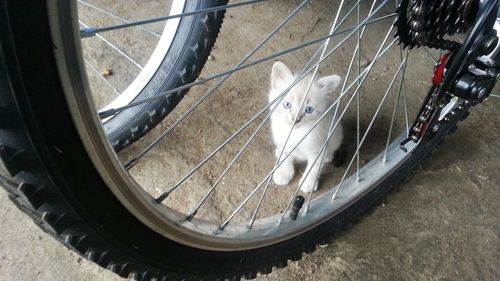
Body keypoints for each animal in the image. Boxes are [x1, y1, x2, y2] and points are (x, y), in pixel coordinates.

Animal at [270, 61, 344, 192]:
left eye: (309, 109)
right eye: (287, 104)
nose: (296, 120)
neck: (295, 134)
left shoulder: (317, 149)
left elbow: (313, 168)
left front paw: (308, 183)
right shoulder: (283, 142)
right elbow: (285, 158)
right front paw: (284, 173)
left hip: (336, 135)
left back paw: (328, 157)